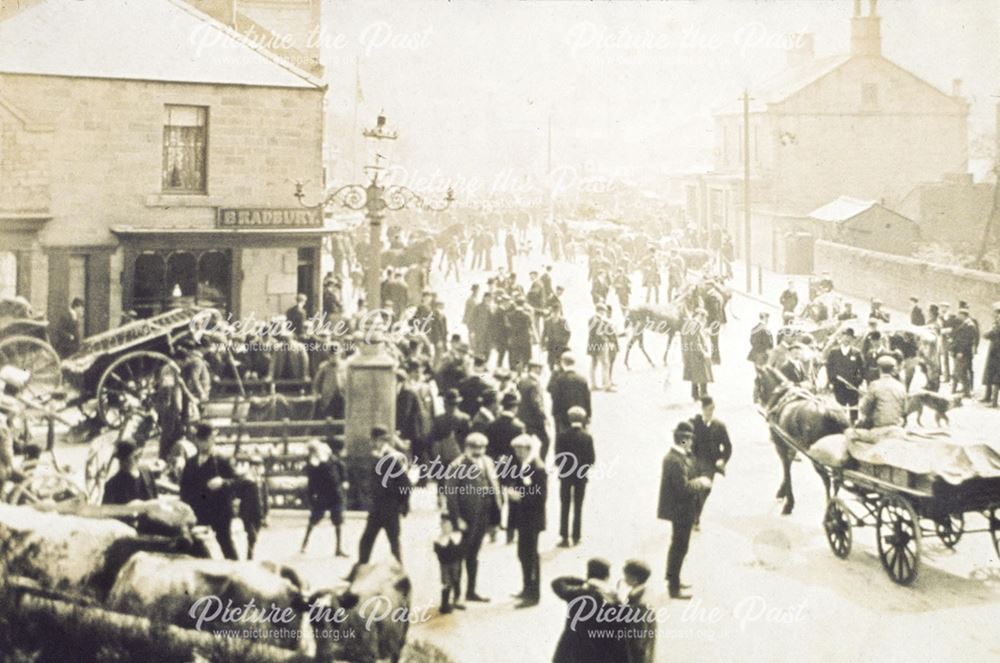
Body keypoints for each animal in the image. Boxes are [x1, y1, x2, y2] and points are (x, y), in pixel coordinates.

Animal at [752, 366, 848, 516]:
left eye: (756, 381)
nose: (754, 398)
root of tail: (830, 412)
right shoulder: (792, 446)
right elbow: (788, 468)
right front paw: (782, 492)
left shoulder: (781, 446)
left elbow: (786, 470)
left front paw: (788, 503)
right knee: (836, 481)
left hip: (817, 457)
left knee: (827, 480)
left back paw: (829, 510)